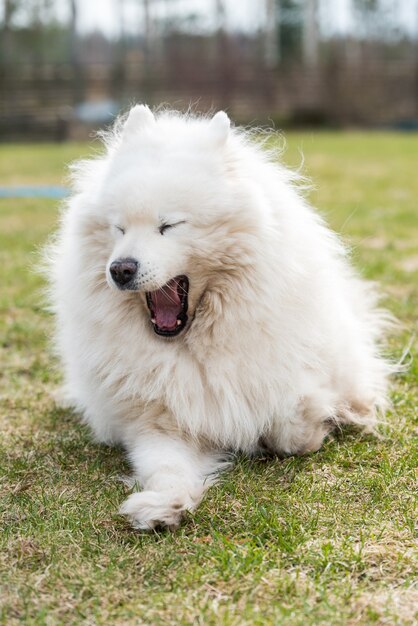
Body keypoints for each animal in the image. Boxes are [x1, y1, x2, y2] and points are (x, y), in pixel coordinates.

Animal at [48, 106, 392, 528]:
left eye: (168, 226)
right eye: (119, 228)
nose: (120, 269)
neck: (194, 346)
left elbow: (291, 429)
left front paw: (314, 419)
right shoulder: (158, 423)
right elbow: (164, 467)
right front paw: (163, 504)